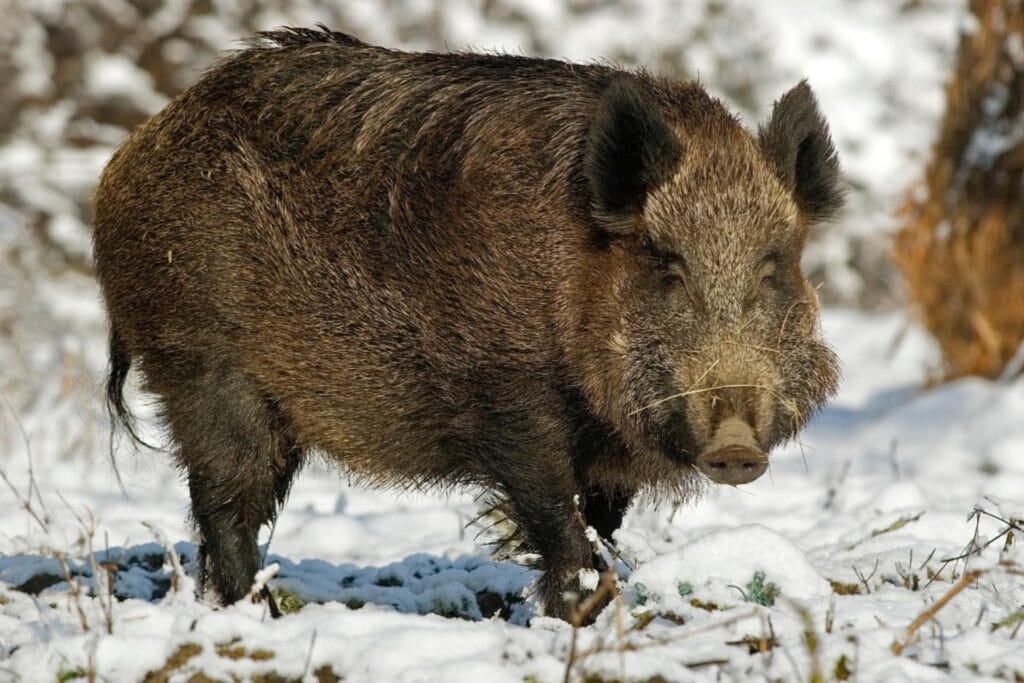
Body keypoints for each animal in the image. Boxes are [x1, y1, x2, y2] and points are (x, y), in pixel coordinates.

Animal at [92, 26, 842, 622]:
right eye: (668, 264)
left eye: (775, 265)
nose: (737, 446)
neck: (574, 275)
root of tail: (128, 157)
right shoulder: (508, 401)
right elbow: (557, 521)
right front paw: (578, 616)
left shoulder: (610, 452)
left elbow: (602, 524)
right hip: (202, 364)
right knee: (227, 504)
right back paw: (262, 618)